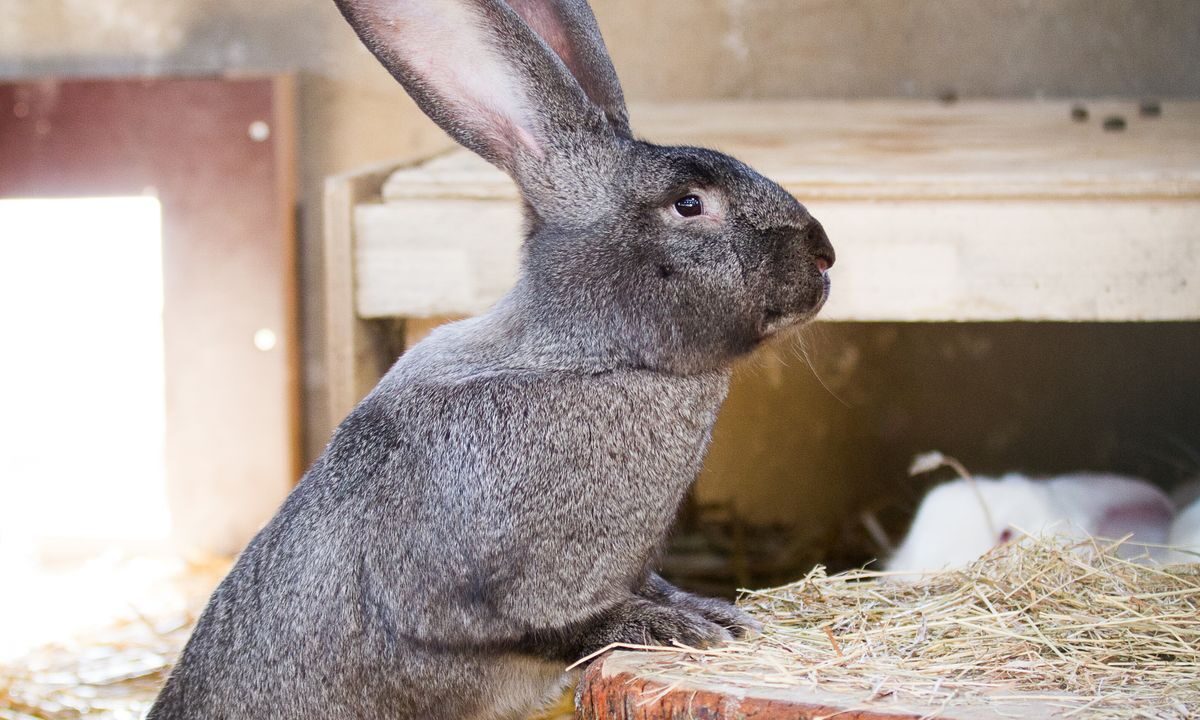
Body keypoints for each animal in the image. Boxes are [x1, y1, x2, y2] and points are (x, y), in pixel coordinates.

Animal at [147, 1, 834, 719]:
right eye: (690, 204)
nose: (825, 256)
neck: (591, 355)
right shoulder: (463, 592)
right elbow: (552, 626)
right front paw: (674, 627)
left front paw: (715, 614)